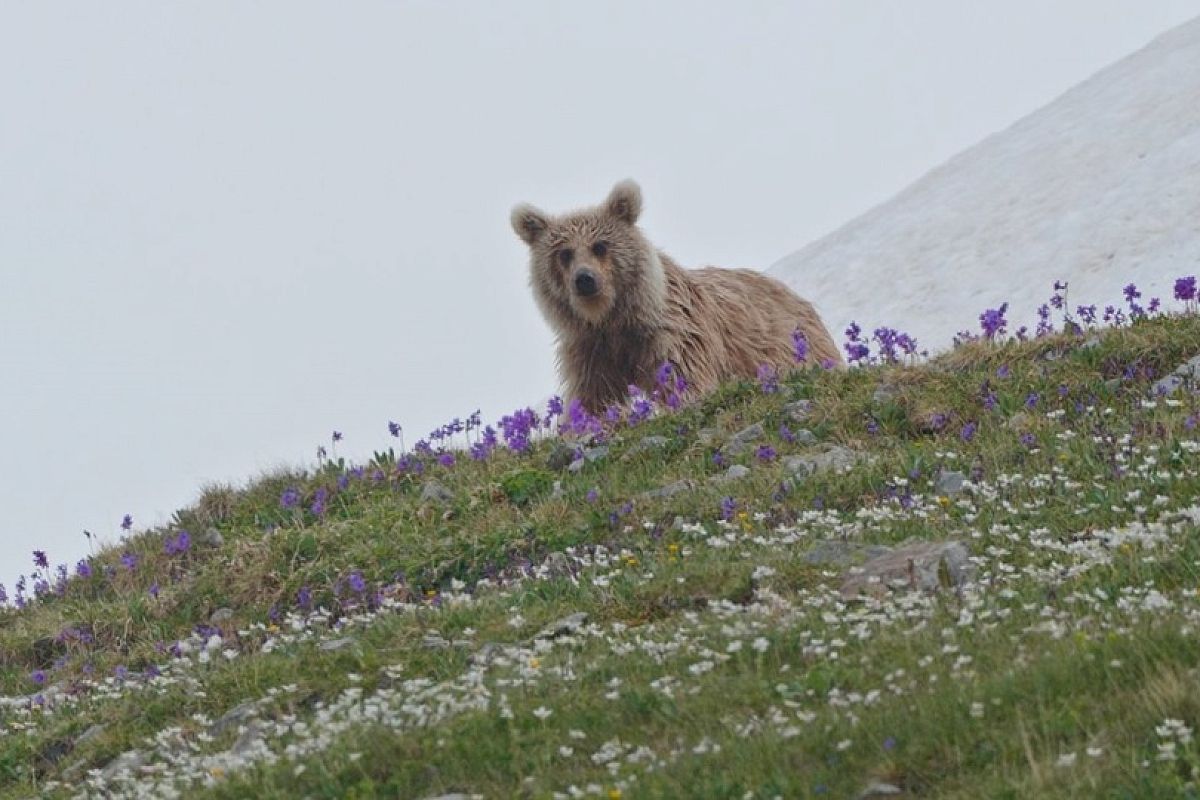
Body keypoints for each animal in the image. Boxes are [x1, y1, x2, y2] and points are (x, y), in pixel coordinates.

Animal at [511, 181, 840, 412]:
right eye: (564, 253)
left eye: (600, 246)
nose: (585, 280)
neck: (615, 321)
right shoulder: (591, 350)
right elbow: (591, 400)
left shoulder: (673, 333)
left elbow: (684, 379)